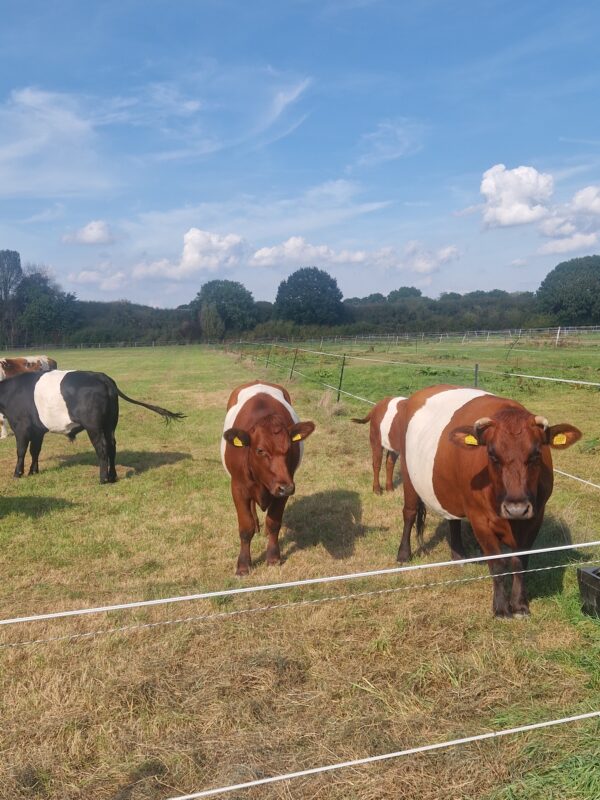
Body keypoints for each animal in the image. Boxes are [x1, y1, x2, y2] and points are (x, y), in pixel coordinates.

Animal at [0, 370, 184, 483]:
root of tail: (102, 377)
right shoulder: (38, 431)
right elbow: (35, 451)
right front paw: (33, 471)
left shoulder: (21, 427)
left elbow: (21, 451)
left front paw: (18, 473)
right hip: (110, 425)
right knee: (112, 447)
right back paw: (112, 476)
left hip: (93, 426)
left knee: (102, 448)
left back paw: (103, 479)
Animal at [222, 381, 315, 576]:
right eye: (260, 450)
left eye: (289, 448)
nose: (286, 487)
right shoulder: (238, 488)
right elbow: (245, 527)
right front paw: (243, 564)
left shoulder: (284, 487)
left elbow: (273, 523)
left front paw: (273, 556)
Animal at [394, 385, 581, 617]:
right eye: (492, 455)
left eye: (536, 454)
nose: (516, 509)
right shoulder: (479, 520)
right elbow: (497, 564)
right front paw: (500, 608)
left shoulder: (535, 517)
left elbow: (520, 561)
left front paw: (519, 605)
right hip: (408, 473)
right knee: (409, 513)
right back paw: (403, 555)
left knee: (452, 519)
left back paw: (459, 556)